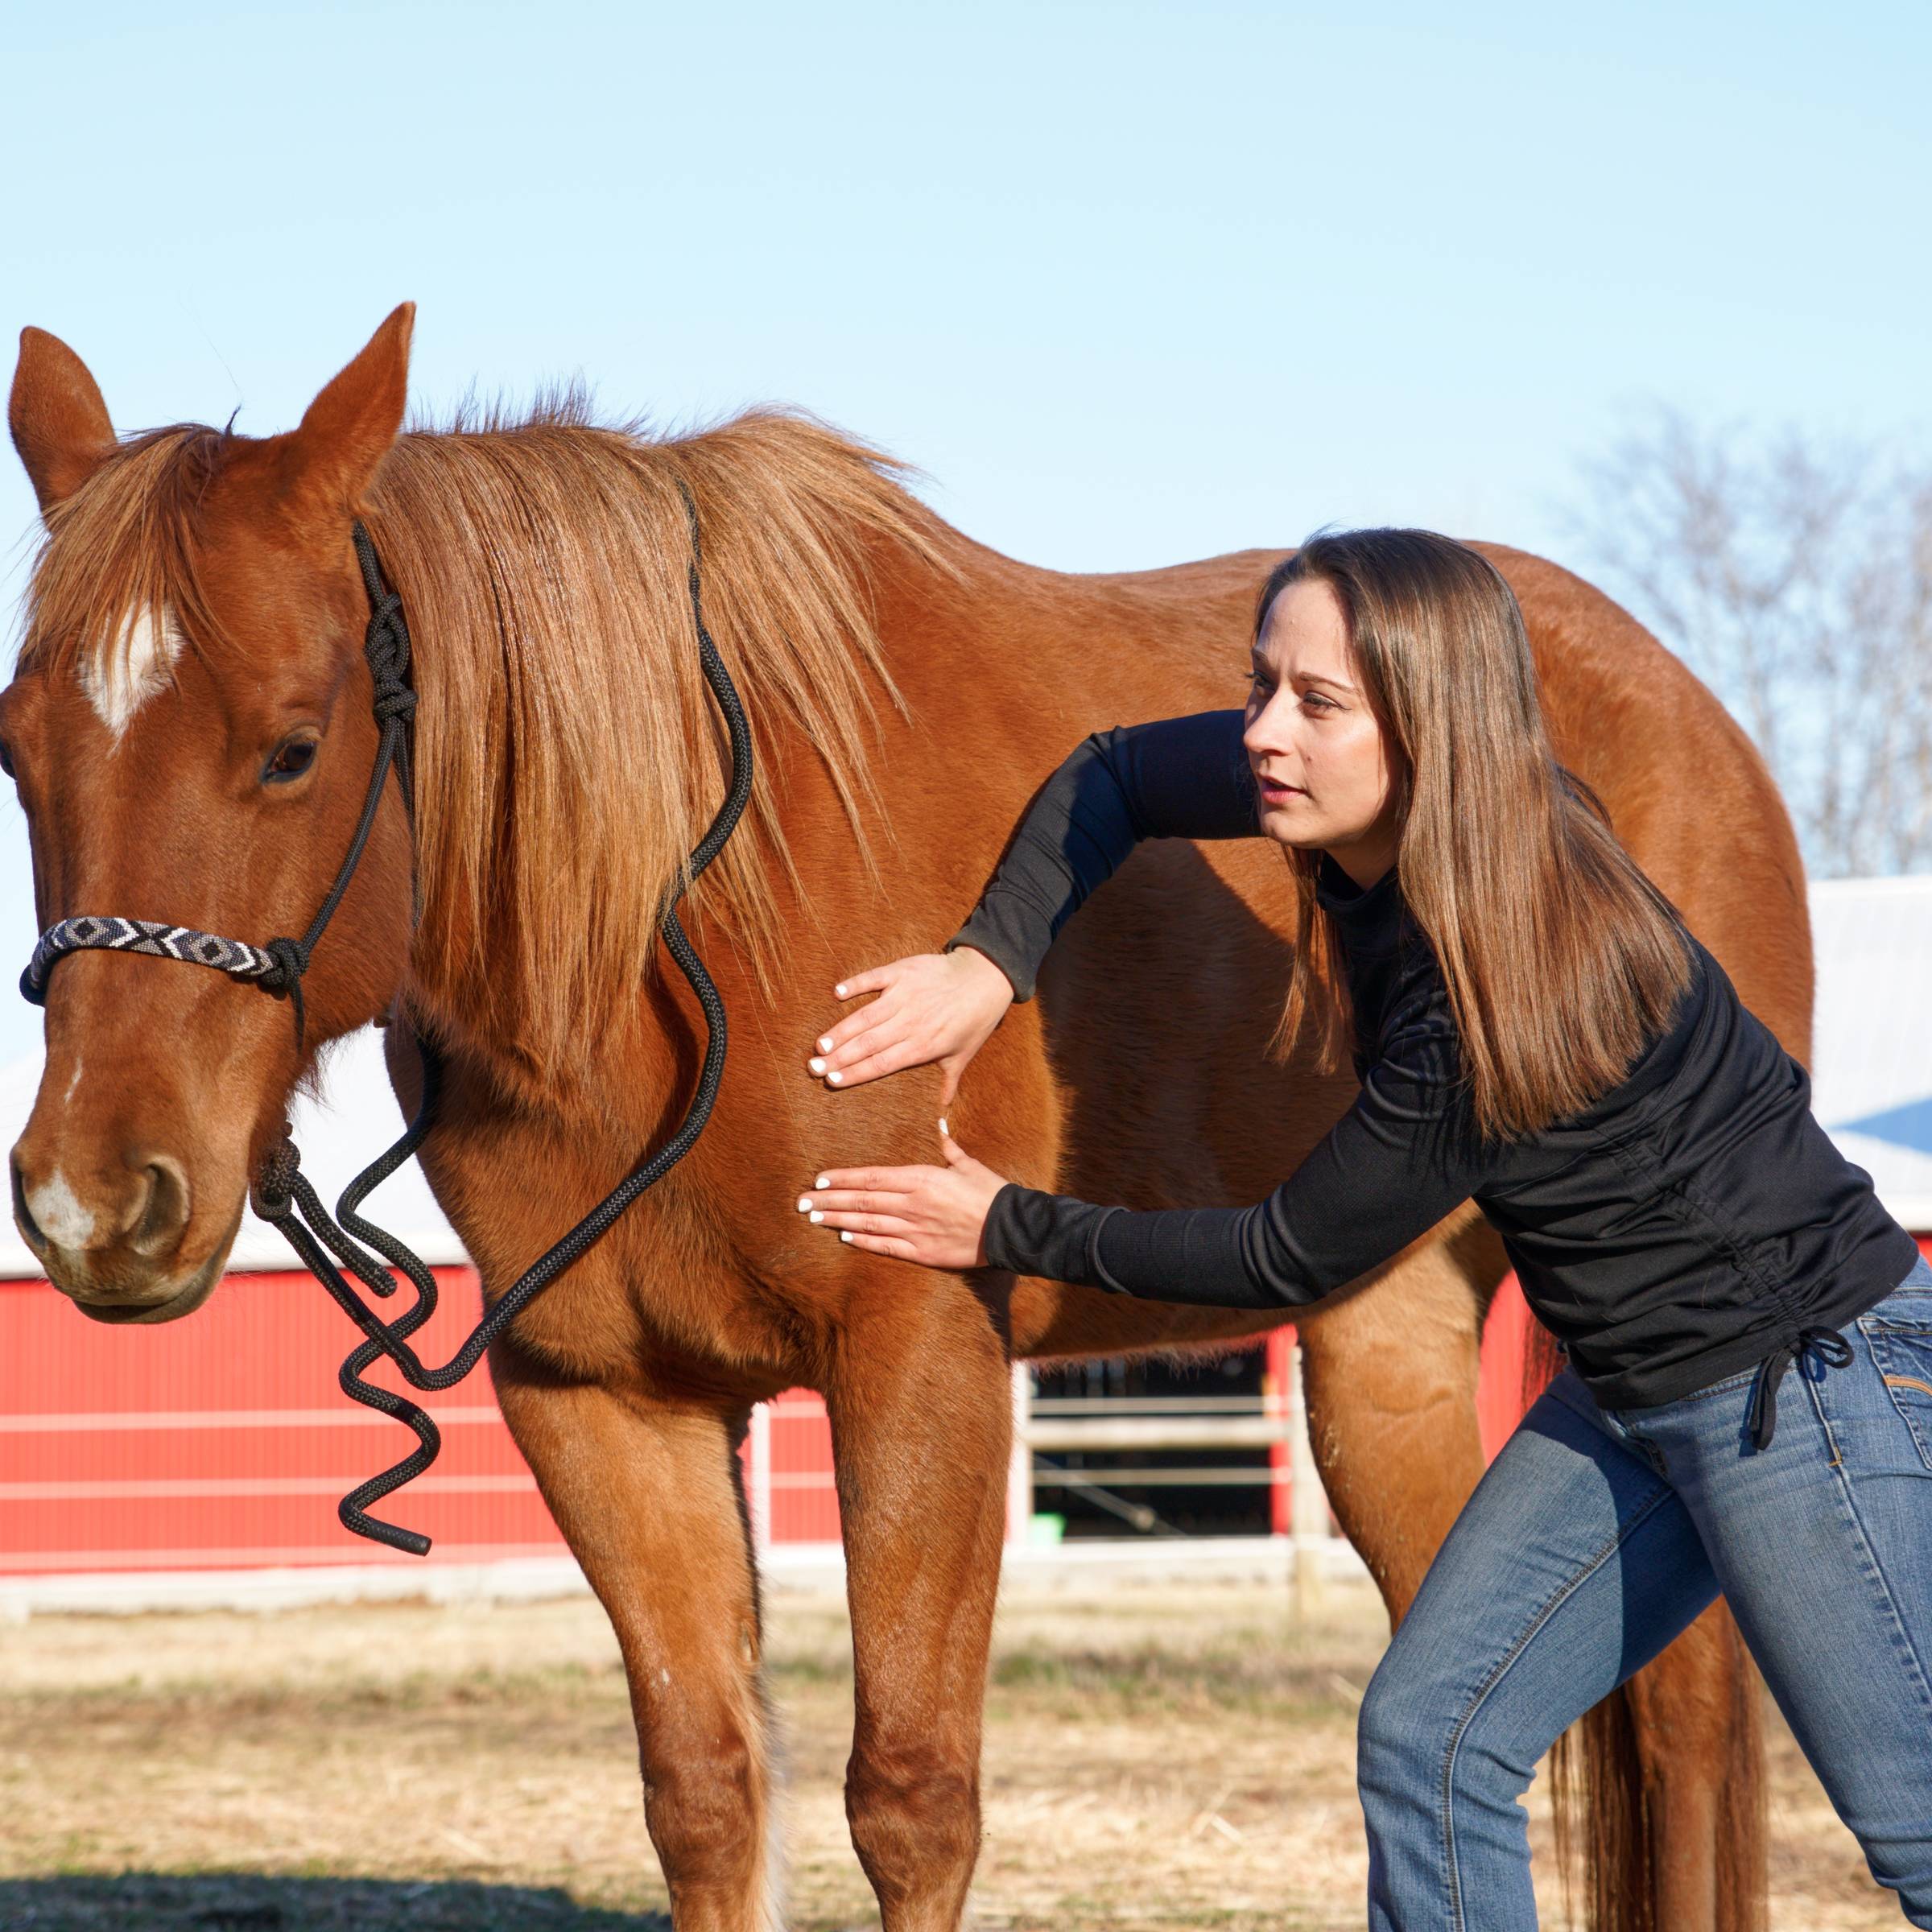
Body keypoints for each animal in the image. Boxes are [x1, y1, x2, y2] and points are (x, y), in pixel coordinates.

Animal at [0, 305, 1785, 1932]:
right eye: (18, 756)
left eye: (295, 747)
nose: (97, 1200)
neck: (684, 905)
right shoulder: (600, 1399)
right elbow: (708, 1793)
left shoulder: (920, 1368)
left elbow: (913, 1801)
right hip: (1384, 1348)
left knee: (1692, 1710)